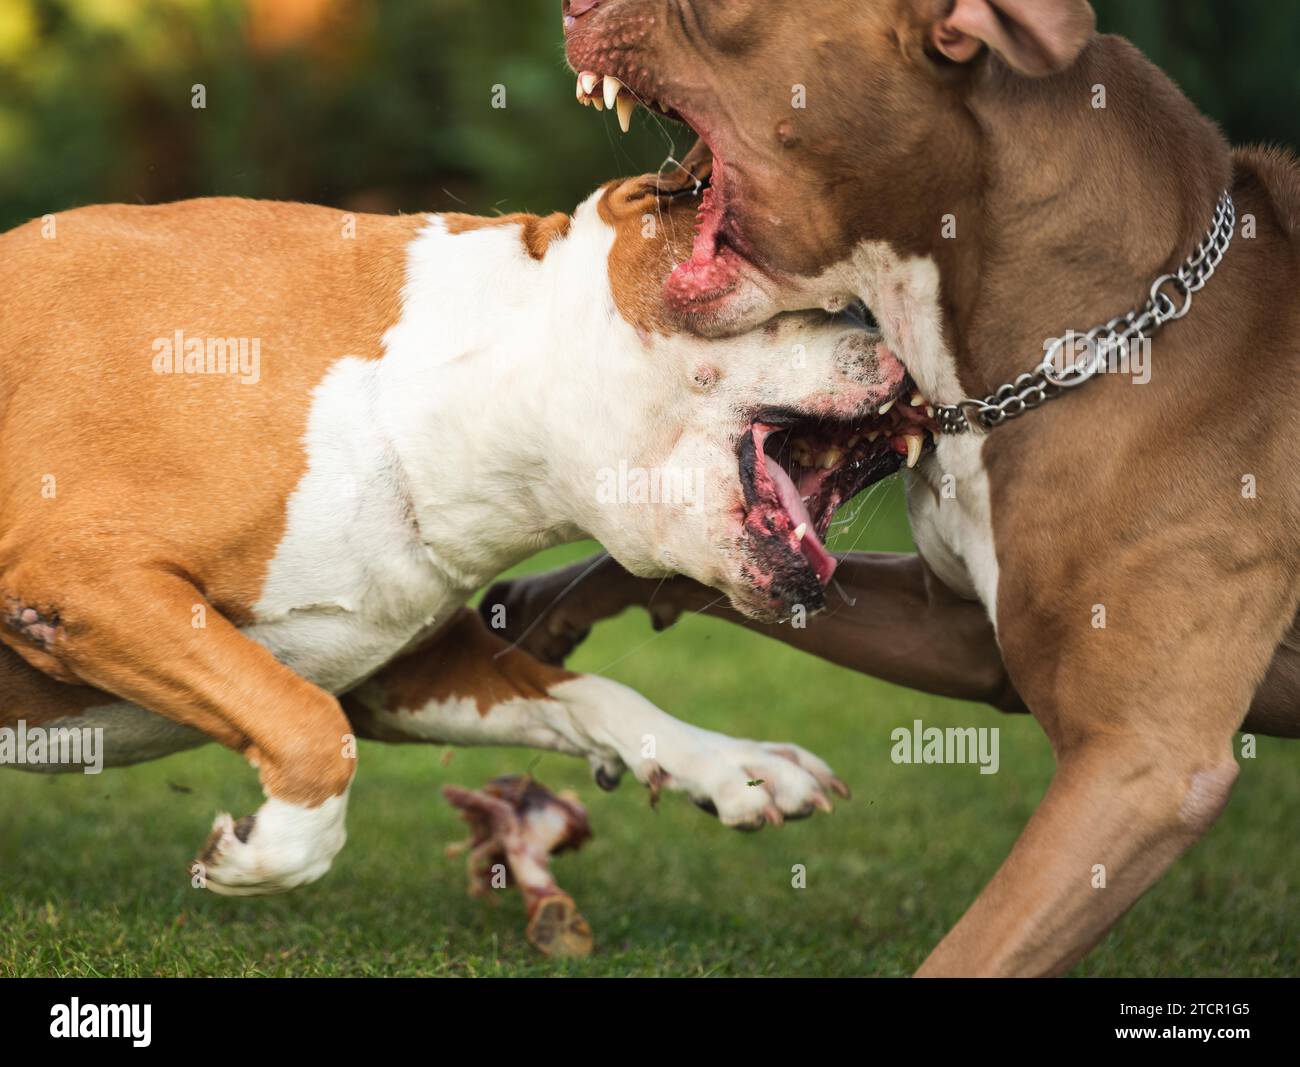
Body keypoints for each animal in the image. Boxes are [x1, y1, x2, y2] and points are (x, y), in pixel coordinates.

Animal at [0, 179, 909, 904]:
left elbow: (592, 694)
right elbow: (311, 730)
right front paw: (264, 855)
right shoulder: (83, 579)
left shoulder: (398, 668)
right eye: (830, 305)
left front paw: (730, 763)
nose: (903, 352)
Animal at [488, 2, 1300, 972]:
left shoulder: (1143, 764)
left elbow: (970, 950)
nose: (573, 7)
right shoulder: (961, 630)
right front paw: (538, 612)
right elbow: (658, 568)